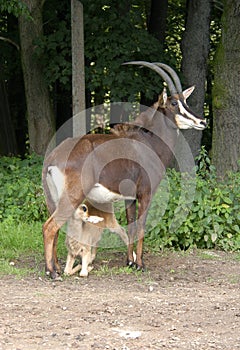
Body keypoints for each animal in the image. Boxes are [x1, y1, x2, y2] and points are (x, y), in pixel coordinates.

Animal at [41, 60, 206, 278]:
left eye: (185, 101)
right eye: (173, 103)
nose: (202, 121)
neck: (149, 141)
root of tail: (53, 156)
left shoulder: (129, 197)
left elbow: (130, 227)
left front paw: (129, 261)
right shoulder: (145, 193)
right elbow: (141, 227)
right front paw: (140, 264)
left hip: (52, 198)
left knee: (57, 227)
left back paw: (57, 267)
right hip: (72, 195)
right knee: (50, 227)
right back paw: (52, 272)